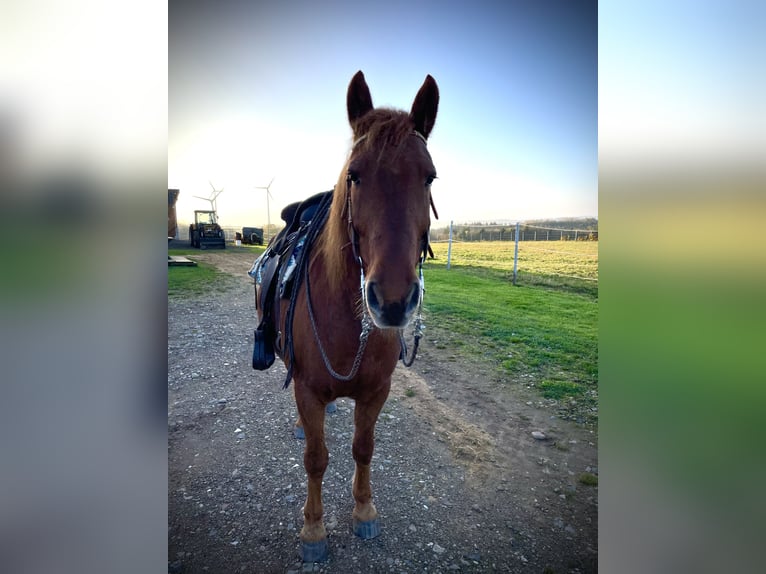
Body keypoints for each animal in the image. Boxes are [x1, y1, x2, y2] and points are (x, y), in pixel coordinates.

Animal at [255, 71, 440, 564]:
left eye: (430, 176)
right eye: (354, 175)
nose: (392, 300)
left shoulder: (376, 392)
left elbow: (364, 448)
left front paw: (364, 510)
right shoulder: (306, 389)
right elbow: (317, 459)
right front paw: (314, 529)